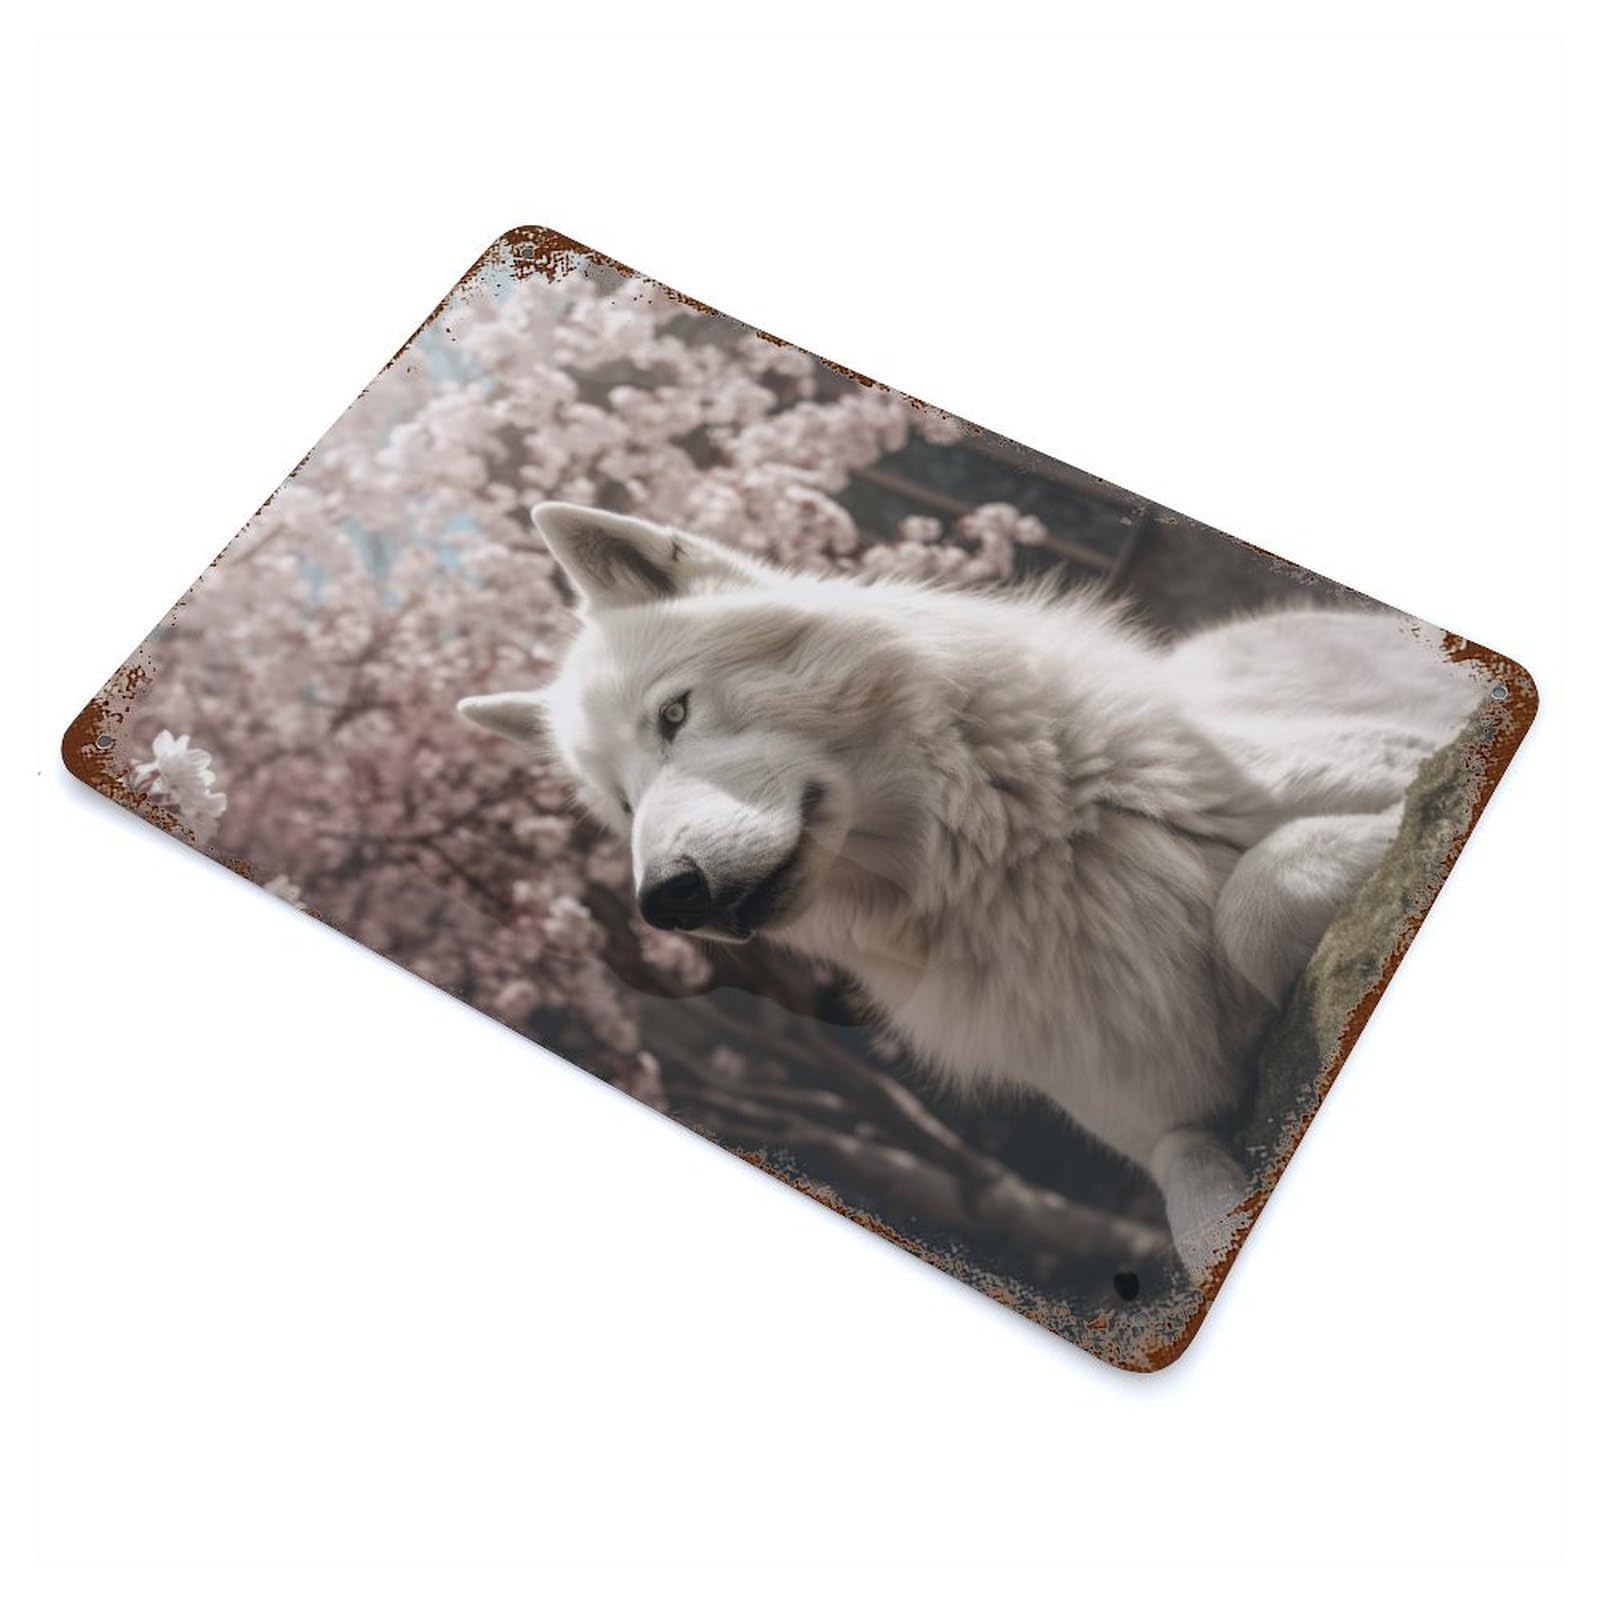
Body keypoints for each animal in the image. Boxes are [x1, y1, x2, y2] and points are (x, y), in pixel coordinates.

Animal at [459, 502, 1484, 1280]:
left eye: (673, 715)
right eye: (620, 805)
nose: (665, 900)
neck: (1013, 868)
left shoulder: (1414, 773)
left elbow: (1257, 894)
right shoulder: (1162, 1131)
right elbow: (1198, 1224)